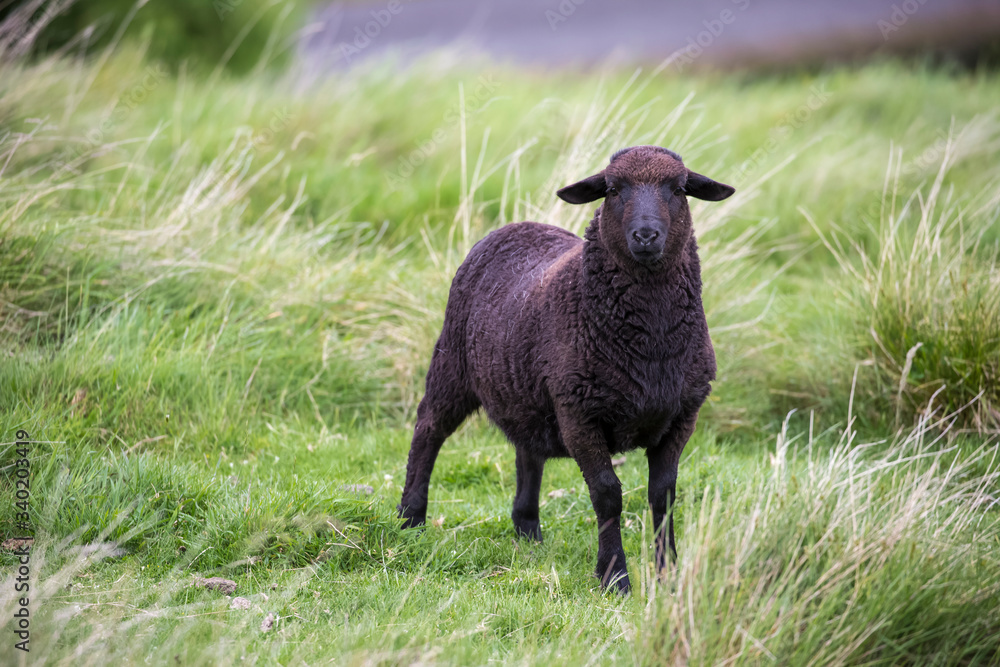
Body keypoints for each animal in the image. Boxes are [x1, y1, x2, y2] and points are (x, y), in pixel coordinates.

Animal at [398, 145, 735, 592]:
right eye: (613, 189)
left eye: (678, 189)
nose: (646, 236)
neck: (650, 344)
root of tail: (517, 225)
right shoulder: (580, 414)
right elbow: (608, 494)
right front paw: (615, 577)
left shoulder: (682, 414)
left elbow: (663, 494)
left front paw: (668, 574)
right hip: (452, 362)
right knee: (428, 429)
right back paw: (410, 519)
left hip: (524, 389)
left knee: (527, 452)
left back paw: (527, 530)